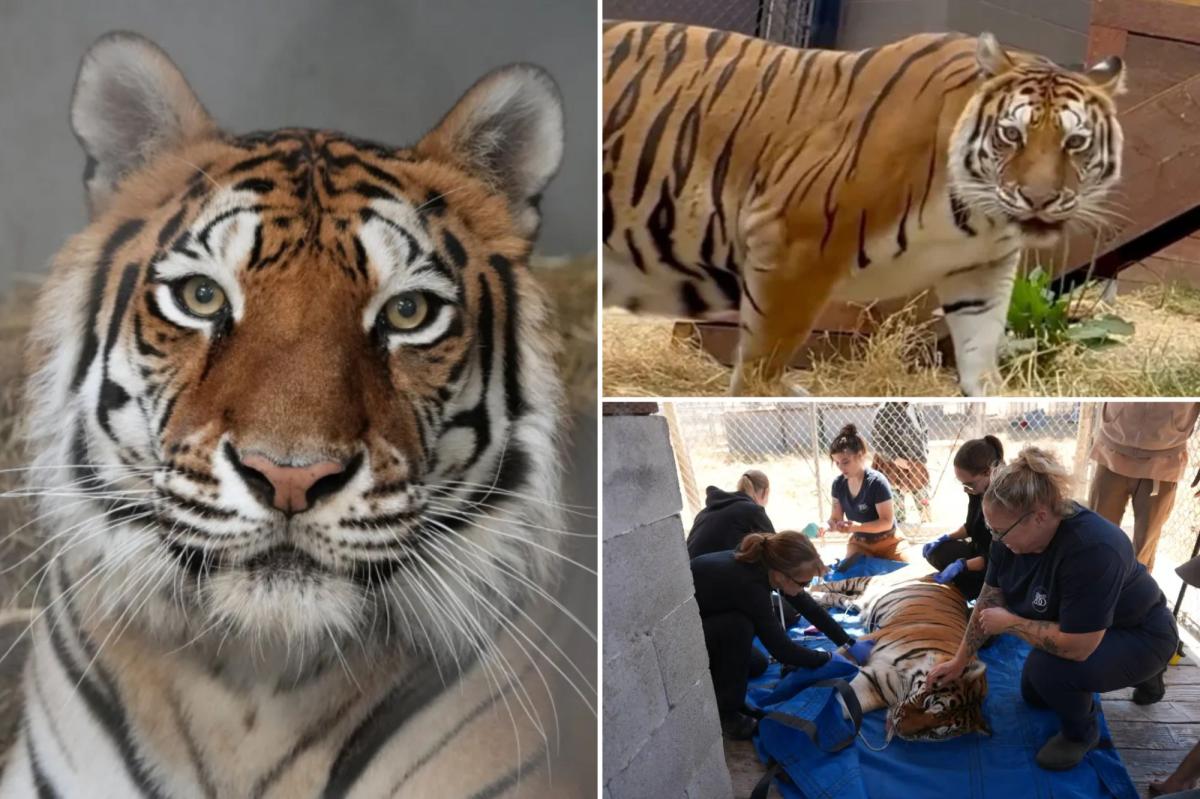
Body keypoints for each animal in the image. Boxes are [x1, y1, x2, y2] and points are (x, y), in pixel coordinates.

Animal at [602, 22, 1126, 396]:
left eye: (1075, 142)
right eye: (1011, 134)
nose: (1039, 199)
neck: (976, 217)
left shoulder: (980, 271)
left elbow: (980, 353)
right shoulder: (792, 246)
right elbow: (760, 367)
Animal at [812, 565, 990, 741]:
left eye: (934, 732)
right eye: (928, 704)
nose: (899, 729)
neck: (904, 678)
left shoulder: (872, 685)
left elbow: (844, 705)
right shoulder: (867, 641)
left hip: (861, 601)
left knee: (845, 599)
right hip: (872, 580)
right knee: (837, 585)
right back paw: (812, 590)